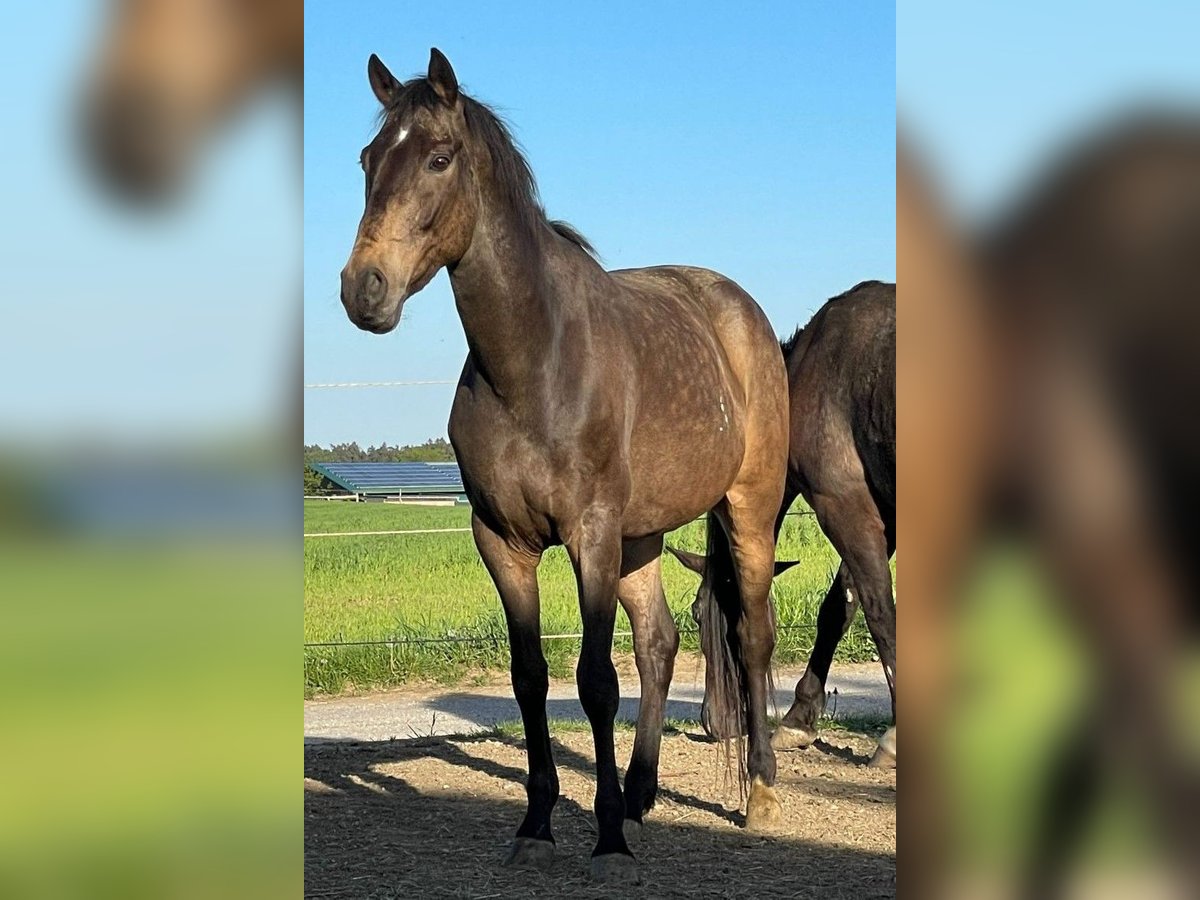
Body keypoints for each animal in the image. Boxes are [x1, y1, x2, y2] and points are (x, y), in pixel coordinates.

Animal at [338, 45, 792, 883]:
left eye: (439, 157)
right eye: (367, 158)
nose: (364, 289)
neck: (535, 362)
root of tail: (738, 309)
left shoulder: (590, 535)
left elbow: (594, 682)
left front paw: (606, 838)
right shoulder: (502, 543)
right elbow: (530, 680)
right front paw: (539, 824)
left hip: (744, 509)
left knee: (750, 637)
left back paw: (761, 794)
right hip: (641, 537)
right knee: (659, 645)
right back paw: (643, 796)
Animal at [672, 282, 897, 768]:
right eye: (697, 614)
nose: (717, 722)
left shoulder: (844, 504)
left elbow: (878, 610)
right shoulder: (878, 515)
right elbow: (838, 608)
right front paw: (798, 719)